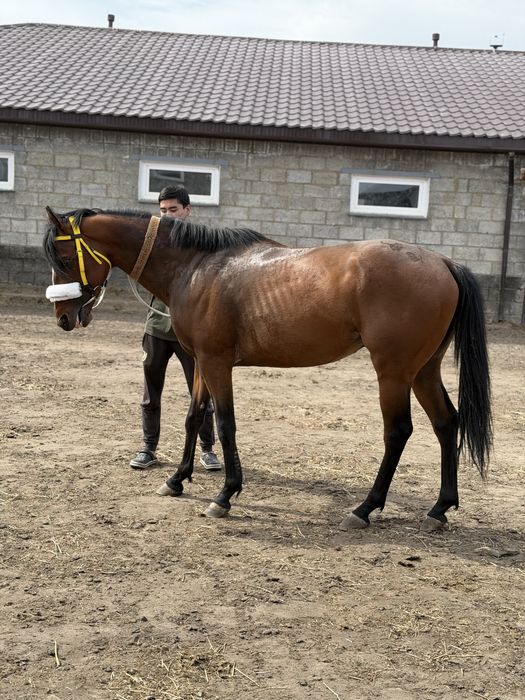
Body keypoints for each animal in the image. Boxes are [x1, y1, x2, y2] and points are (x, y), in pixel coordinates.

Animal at [43, 206, 492, 531]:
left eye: (63, 258)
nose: (63, 318)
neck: (198, 267)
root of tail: (442, 262)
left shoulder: (218, 363)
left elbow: (225, 424)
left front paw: (224, 496)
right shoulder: (201, 362)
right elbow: (194, 418)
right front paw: (176, 480)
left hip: (394, 372)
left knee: (398, 432)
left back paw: (364, 509)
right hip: (424, 370)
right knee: (446, 423)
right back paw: (439, 508)